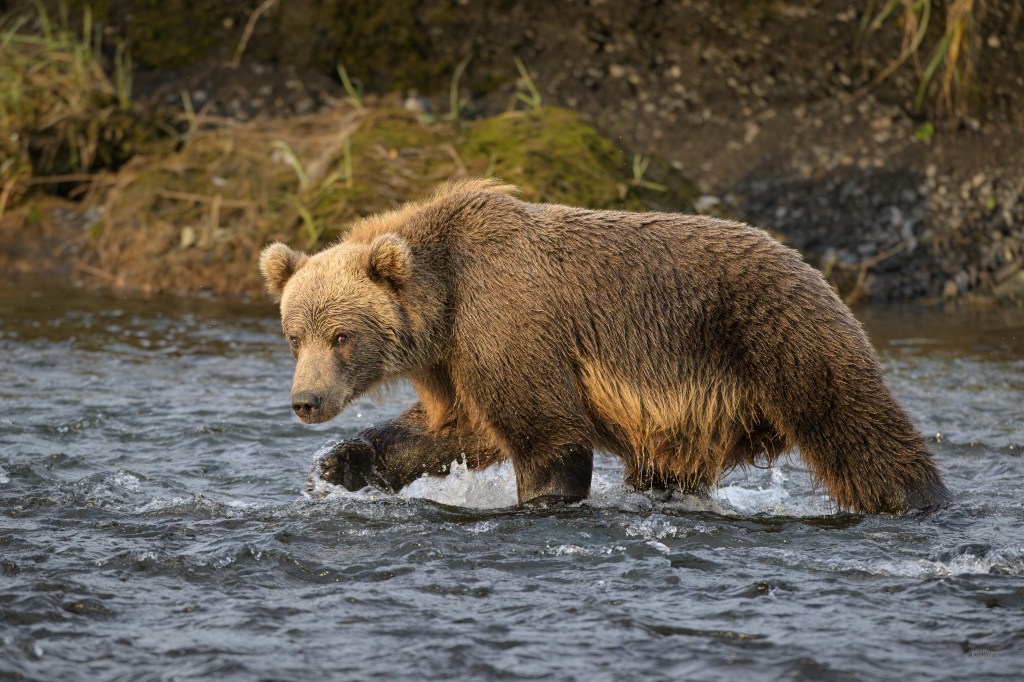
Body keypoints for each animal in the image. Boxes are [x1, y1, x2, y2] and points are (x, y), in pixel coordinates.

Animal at [260, 178, 950, 514]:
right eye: (295, 336)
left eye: (342, 335)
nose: (307, 401)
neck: (443, 305)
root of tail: (812, 266)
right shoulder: (459, 360)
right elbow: (456, 429)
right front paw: (339, 467)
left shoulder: (509, 318)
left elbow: (546, 432)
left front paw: (542, 498)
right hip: (698, 410)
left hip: (777, 336)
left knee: (853, 425)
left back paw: (918, 500)